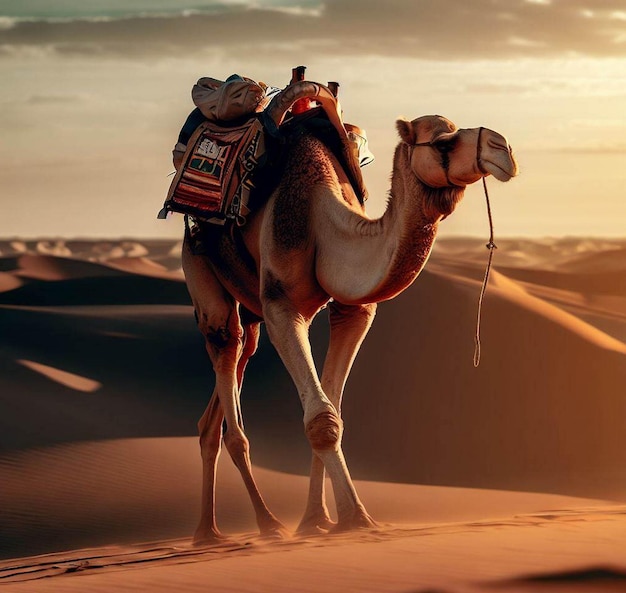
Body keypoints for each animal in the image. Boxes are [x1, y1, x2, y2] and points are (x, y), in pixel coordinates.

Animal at [182, 85, 516, 544]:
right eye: (443, 141)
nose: (504, 149)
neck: (323, 222)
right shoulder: (281, 306)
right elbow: (321, 420)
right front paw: (357, 518)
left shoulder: (353, 310)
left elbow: (334, 412)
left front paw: (318, 520)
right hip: (202, 272)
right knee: (225, 351)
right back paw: (260, 525)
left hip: (249, 310)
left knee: (232, 372)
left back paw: (210, 529)